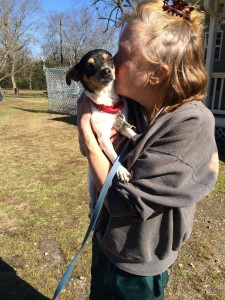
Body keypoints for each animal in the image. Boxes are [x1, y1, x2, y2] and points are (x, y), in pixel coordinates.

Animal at [66, 48, 136, 213]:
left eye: (109, 59)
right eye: (89, 66)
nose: (106, 71)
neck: (108, 103)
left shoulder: (122, 127)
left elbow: (130, 132)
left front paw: (138, 136)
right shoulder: (103, 138)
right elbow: (114, 155)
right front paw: (121, 170)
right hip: (91, 184)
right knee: (92, 201)